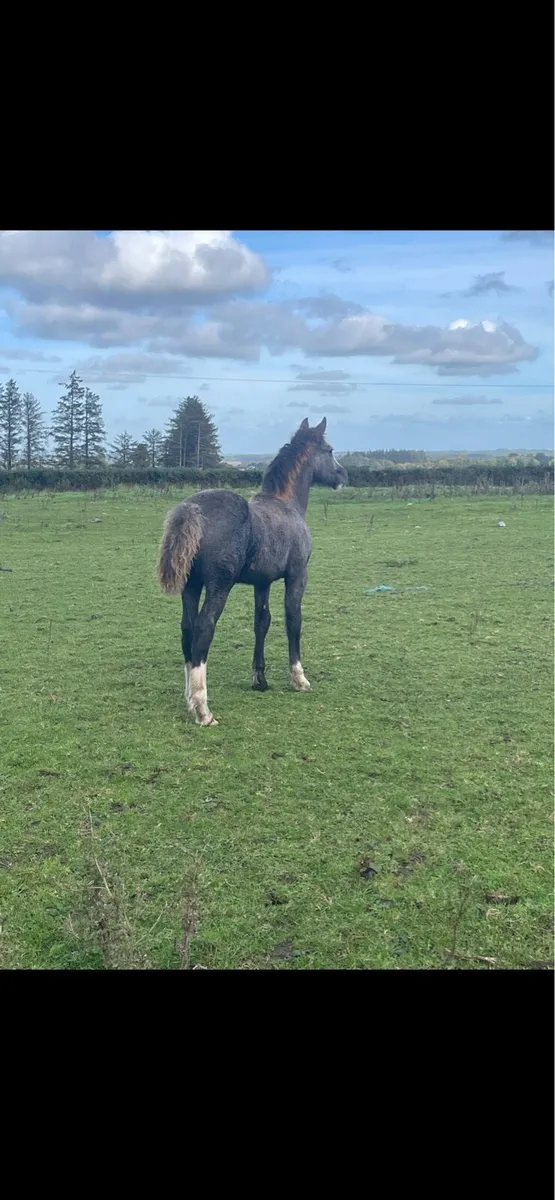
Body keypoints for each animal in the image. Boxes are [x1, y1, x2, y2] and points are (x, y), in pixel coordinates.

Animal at [157, 416, 348, 726]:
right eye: (329, 450)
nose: (343, 475)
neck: (286, 504)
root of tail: (191, 508)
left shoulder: (263, 582)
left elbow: (262, 621)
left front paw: (260, 679)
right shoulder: (297, 575)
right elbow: (293, 619)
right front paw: (299, 678)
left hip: (191, 585)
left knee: (187, 628)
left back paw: (189, 700)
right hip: (219, 585)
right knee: (204, 627)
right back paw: (203, 709)